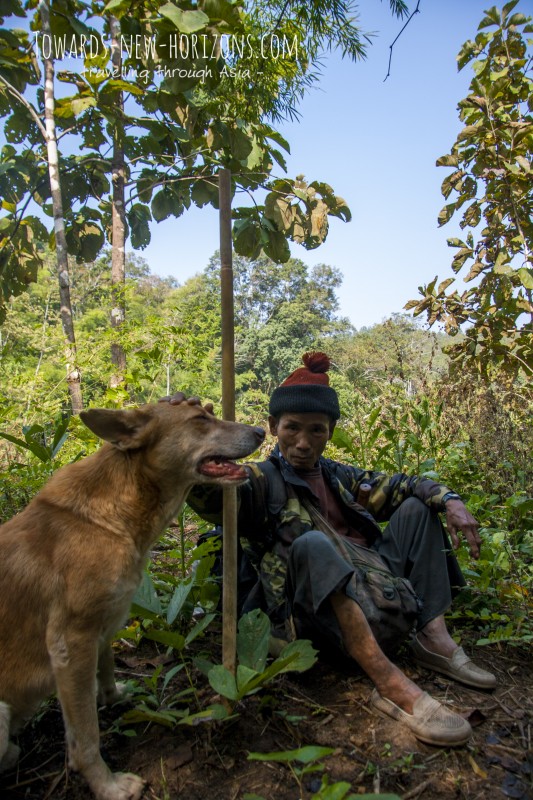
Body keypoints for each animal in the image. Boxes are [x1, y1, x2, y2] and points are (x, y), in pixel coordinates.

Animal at [0, 400, 264, 800]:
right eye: (200, 420)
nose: (263, 431)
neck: (115, 516)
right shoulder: (70, 643)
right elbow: (85, 735)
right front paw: (106, 785)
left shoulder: (101, 628)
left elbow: (107, 664)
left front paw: (111, 696)